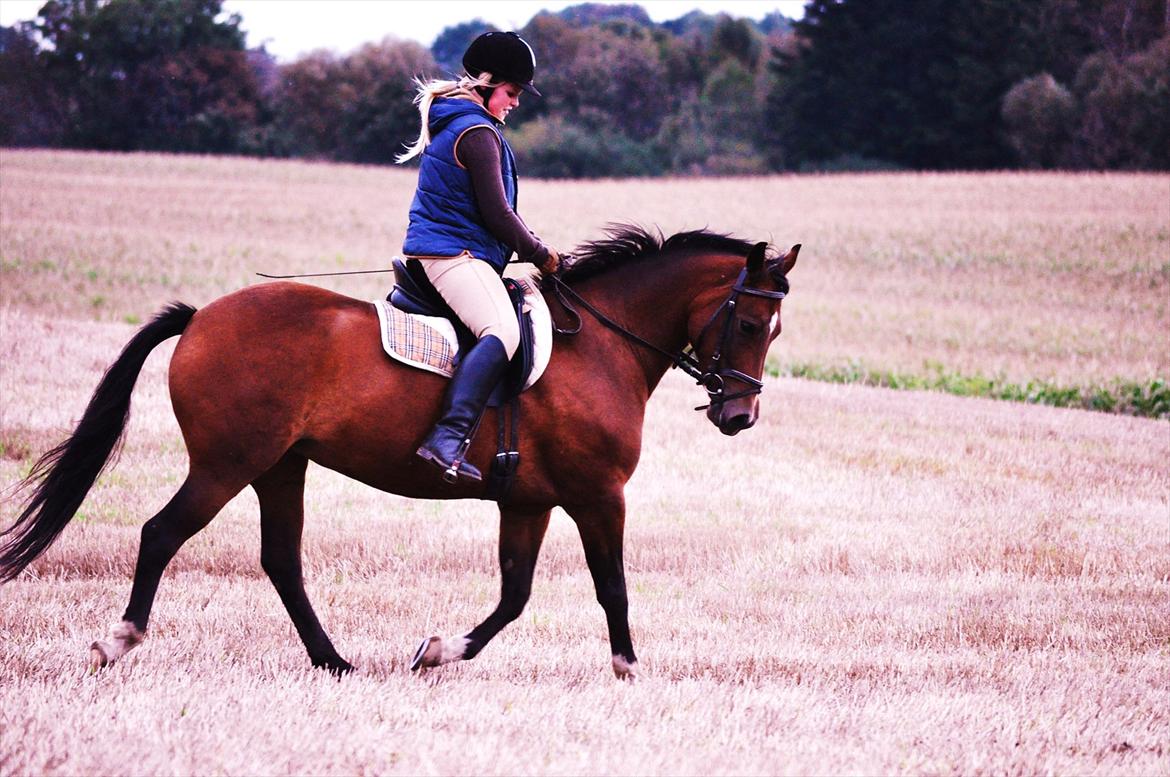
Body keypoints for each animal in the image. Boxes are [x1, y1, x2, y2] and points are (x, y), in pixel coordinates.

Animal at [0, 225, 795, 678]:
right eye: (750, 322)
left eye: (773, 329)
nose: (740, 415)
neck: (602, 343)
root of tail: (200, 318)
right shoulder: (598, 494)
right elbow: (612, 586)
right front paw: (629, 667)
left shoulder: (529, 502)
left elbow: (514, 594)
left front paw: (436, 652)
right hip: (227, 464)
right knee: (162, 533)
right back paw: (118, 641)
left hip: (280, 466)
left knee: (281, 560)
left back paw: (335, 662)